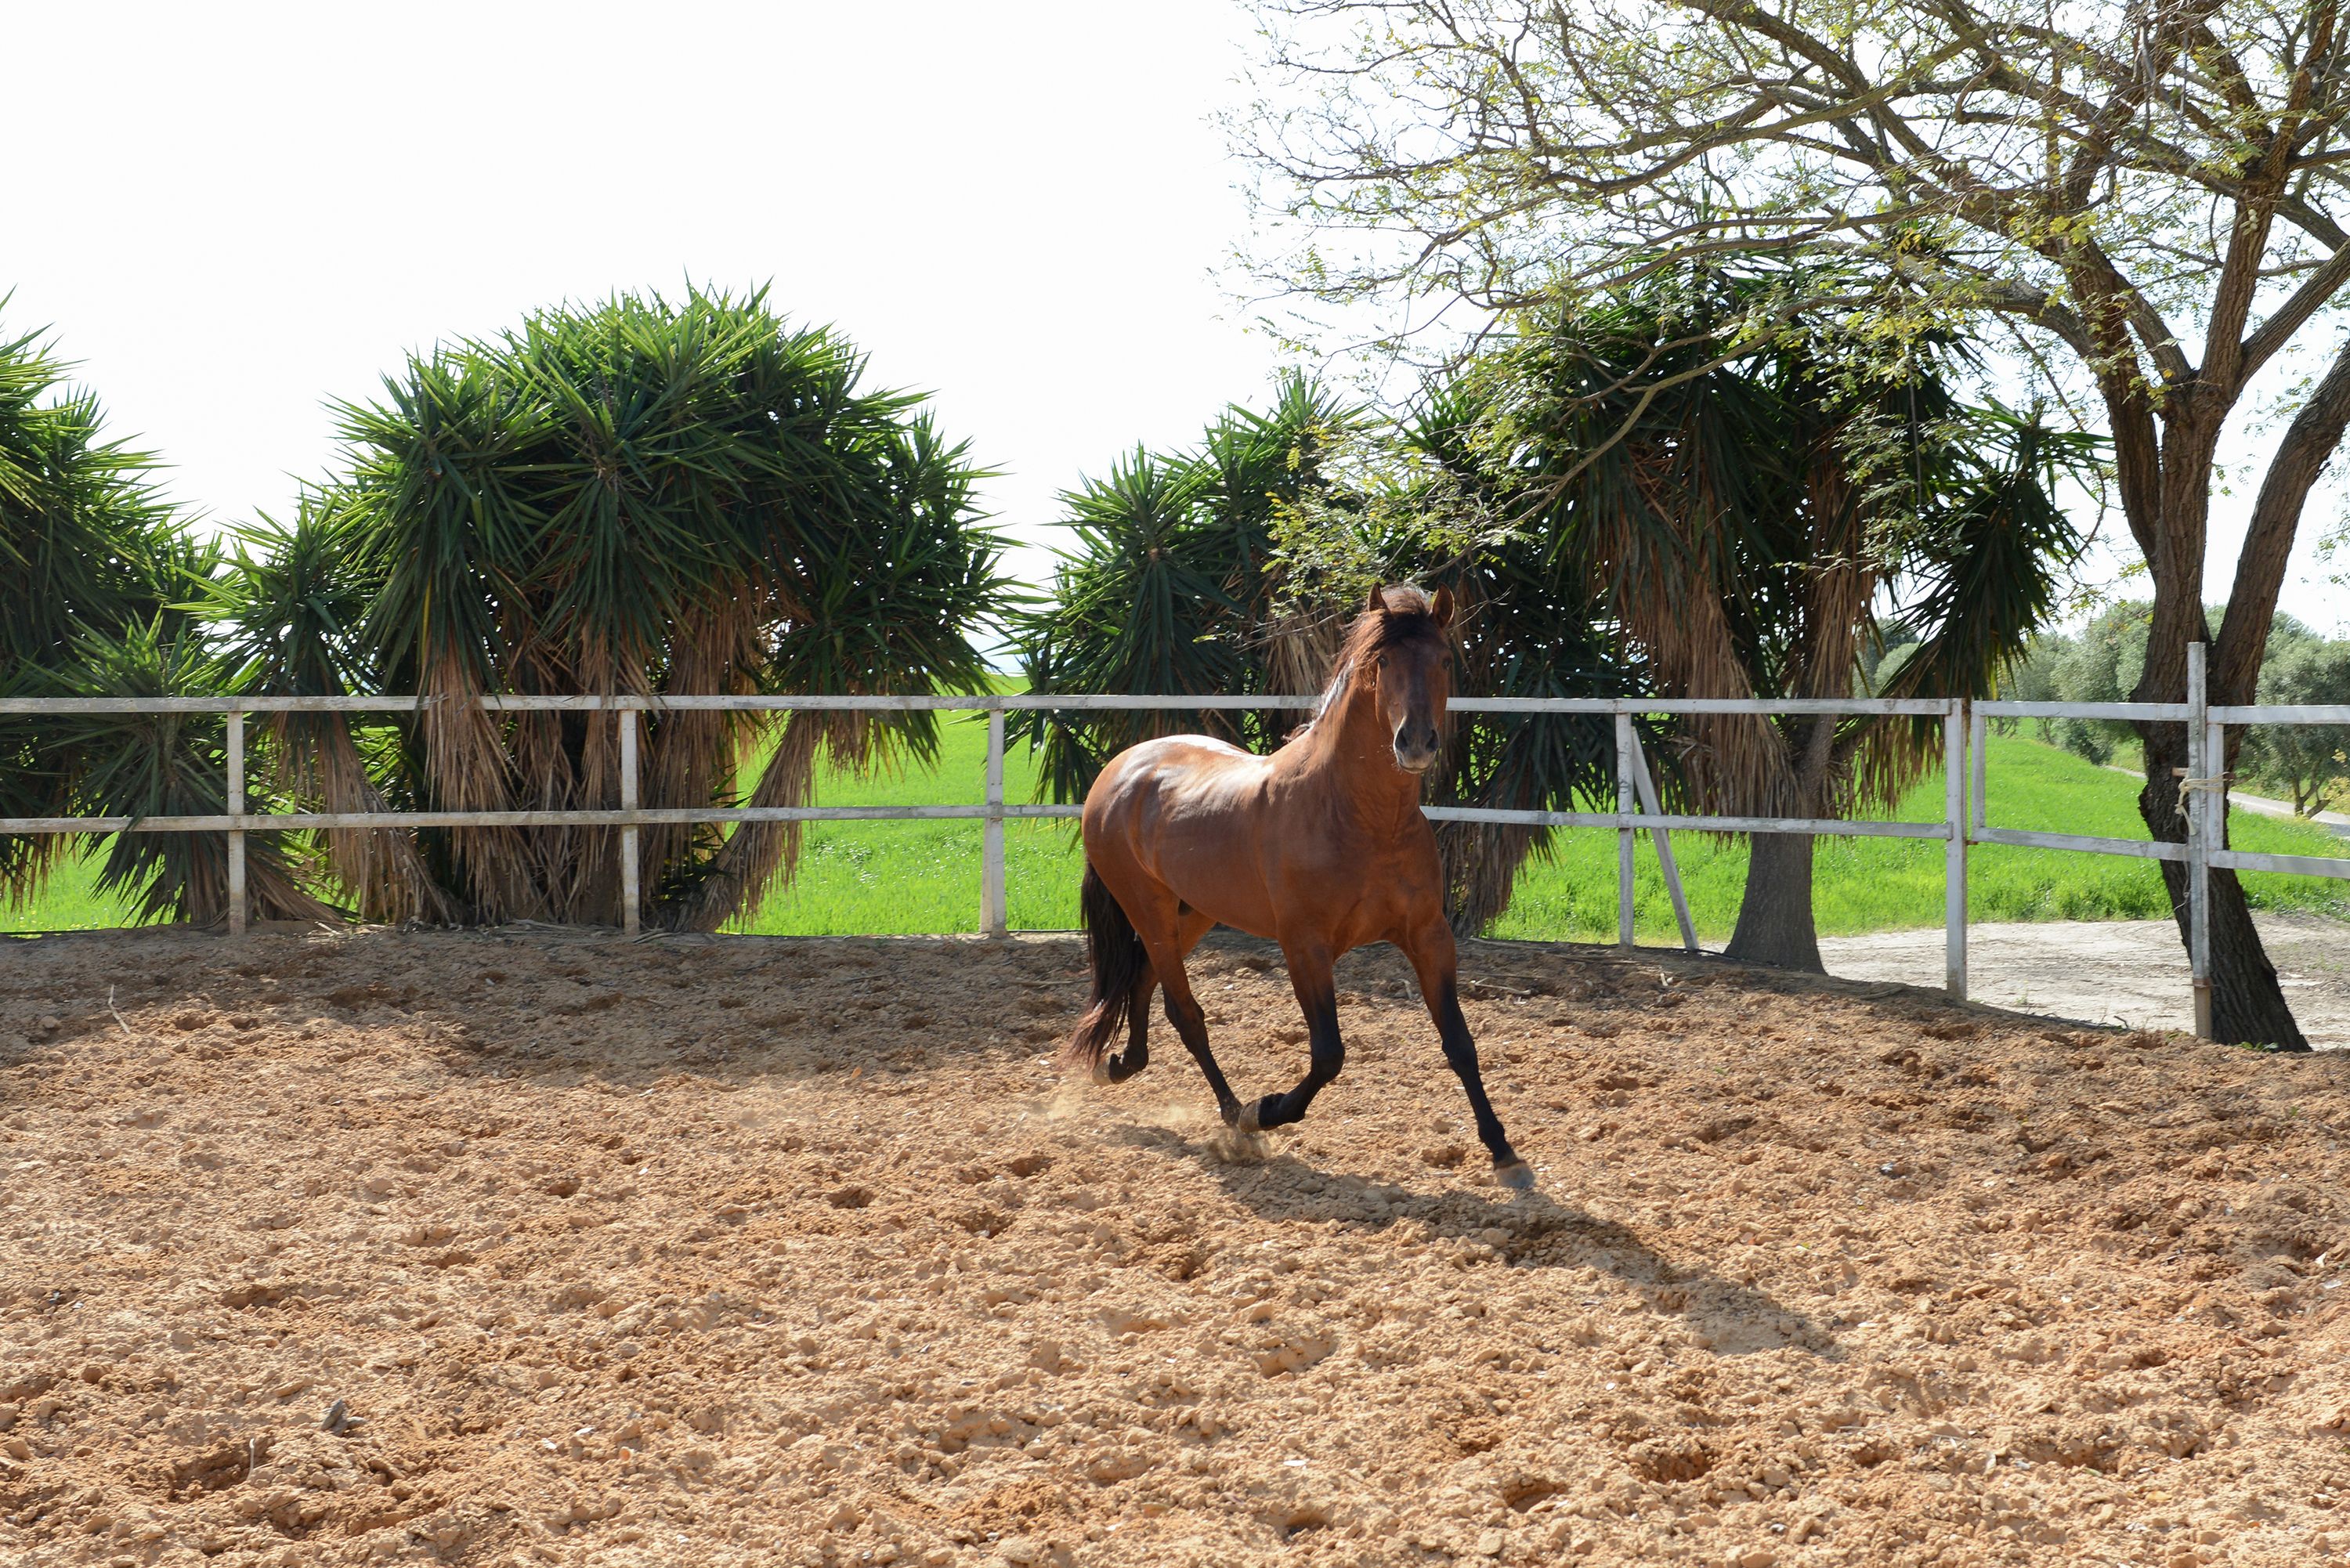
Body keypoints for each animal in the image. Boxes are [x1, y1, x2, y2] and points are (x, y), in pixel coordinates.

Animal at [1067, 585, 1542, 1189]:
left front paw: (1504, 1153)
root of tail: (1120, 769)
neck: (1360, 818)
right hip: (1146, 908)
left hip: (1193, 911)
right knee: (1184, 1011)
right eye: (1382, 662)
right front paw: (1266, 1111)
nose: (1415, 743)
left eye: (1444, 660)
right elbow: (1328, 1054)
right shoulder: (1305, 947)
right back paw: (1234, 1114)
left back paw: (1124, 1066)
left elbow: (1460, 1043)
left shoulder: (1430, 937)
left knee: (1143, 979)